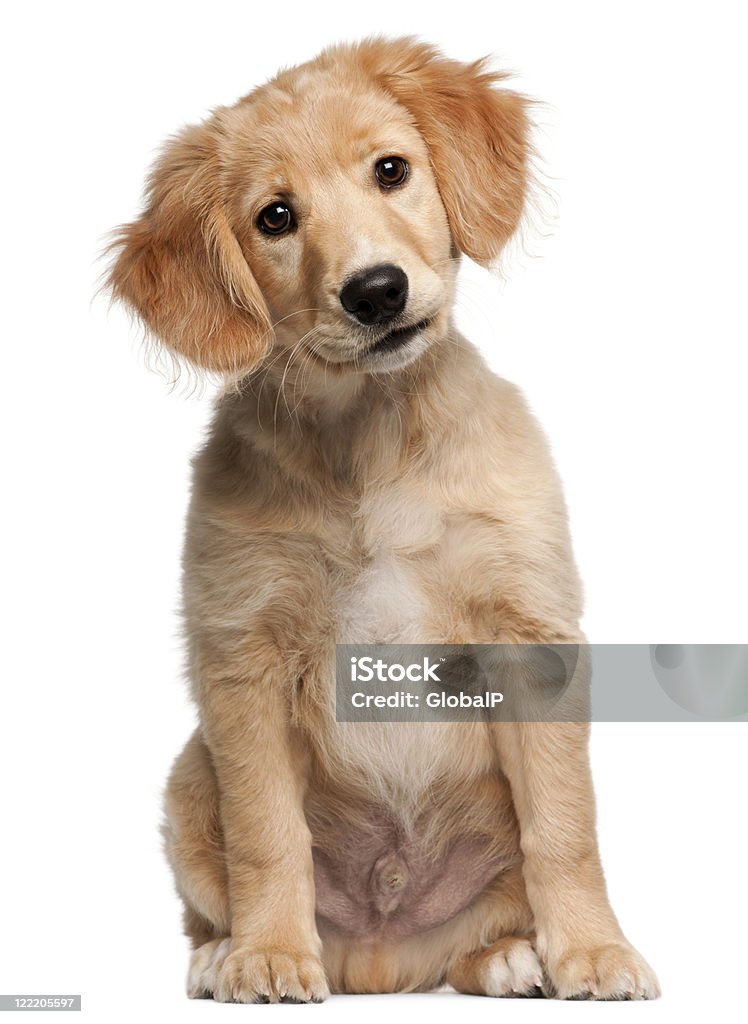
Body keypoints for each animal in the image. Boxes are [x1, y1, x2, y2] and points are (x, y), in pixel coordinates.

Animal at [106, 36, 659, 1003]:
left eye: (391, 170)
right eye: (276, 217)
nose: (374, 291)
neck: (370, 441)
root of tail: (380, 959)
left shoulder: (529, 635)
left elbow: (564, 825)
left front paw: (593, 951)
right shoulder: (242, 656)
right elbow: (268, 834)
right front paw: (271, 954)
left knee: (483, 920)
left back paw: (510, 957)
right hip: (188, 775)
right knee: (213, 895)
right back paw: (226, 951)